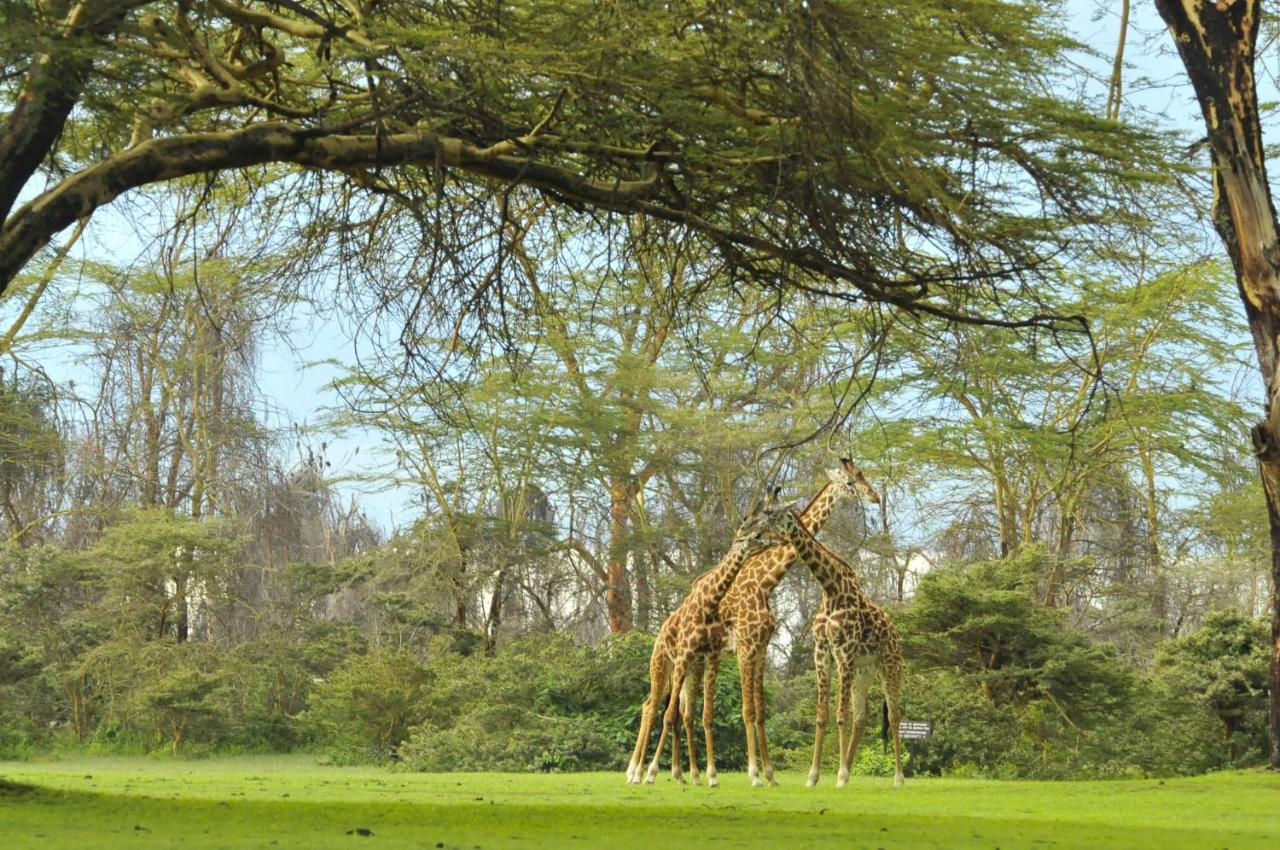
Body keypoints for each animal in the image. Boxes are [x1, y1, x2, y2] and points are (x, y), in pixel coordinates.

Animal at [622, 494, 773, 788]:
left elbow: (696, 714)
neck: (709, 602)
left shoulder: (706, 656)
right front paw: (651, 773)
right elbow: (670, 716)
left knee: (678, 711)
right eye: (756, 535)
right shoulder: (685, 656)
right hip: (662, 665)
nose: (772, 542)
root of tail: (658, 635)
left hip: (689, 669)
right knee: (652, 708)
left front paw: (705, 775)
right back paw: (636, 772)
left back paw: (681, 774)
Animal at [711, 460, 880, 788]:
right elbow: (748, 710)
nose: (875, 497)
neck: (765, 582)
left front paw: (770, 775)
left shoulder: (761, 648)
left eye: (863, 476)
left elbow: (760, 712)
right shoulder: (746, 647)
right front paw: (754, 775)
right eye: (851, 482)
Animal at [773, 501, 906, 788]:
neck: (830, 589)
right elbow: (823, 714)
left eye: (772, 513)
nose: (777, 537)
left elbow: (840, 714)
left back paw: (897, 778)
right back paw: (848, 767)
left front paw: (841, 775)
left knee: (894, 715)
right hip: (863, 671)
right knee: (862, 716)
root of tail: (895, 635)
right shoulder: (822, 651)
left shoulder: (843, 653)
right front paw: (814, 776)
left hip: (889, 666)